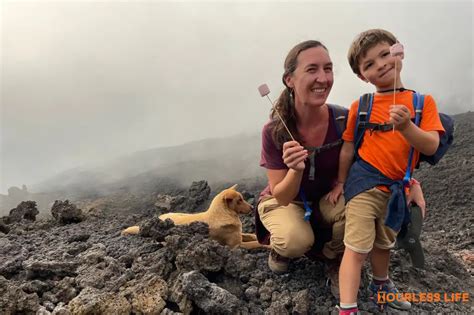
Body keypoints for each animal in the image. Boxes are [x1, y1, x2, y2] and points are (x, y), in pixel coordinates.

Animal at [121, 186, 266, 251]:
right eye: (239, 200)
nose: (252, 207)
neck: (223, 214)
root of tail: (157, 218)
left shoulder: (240, 234)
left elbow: (252, 235)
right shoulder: (236, 246)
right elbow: (256, 243)